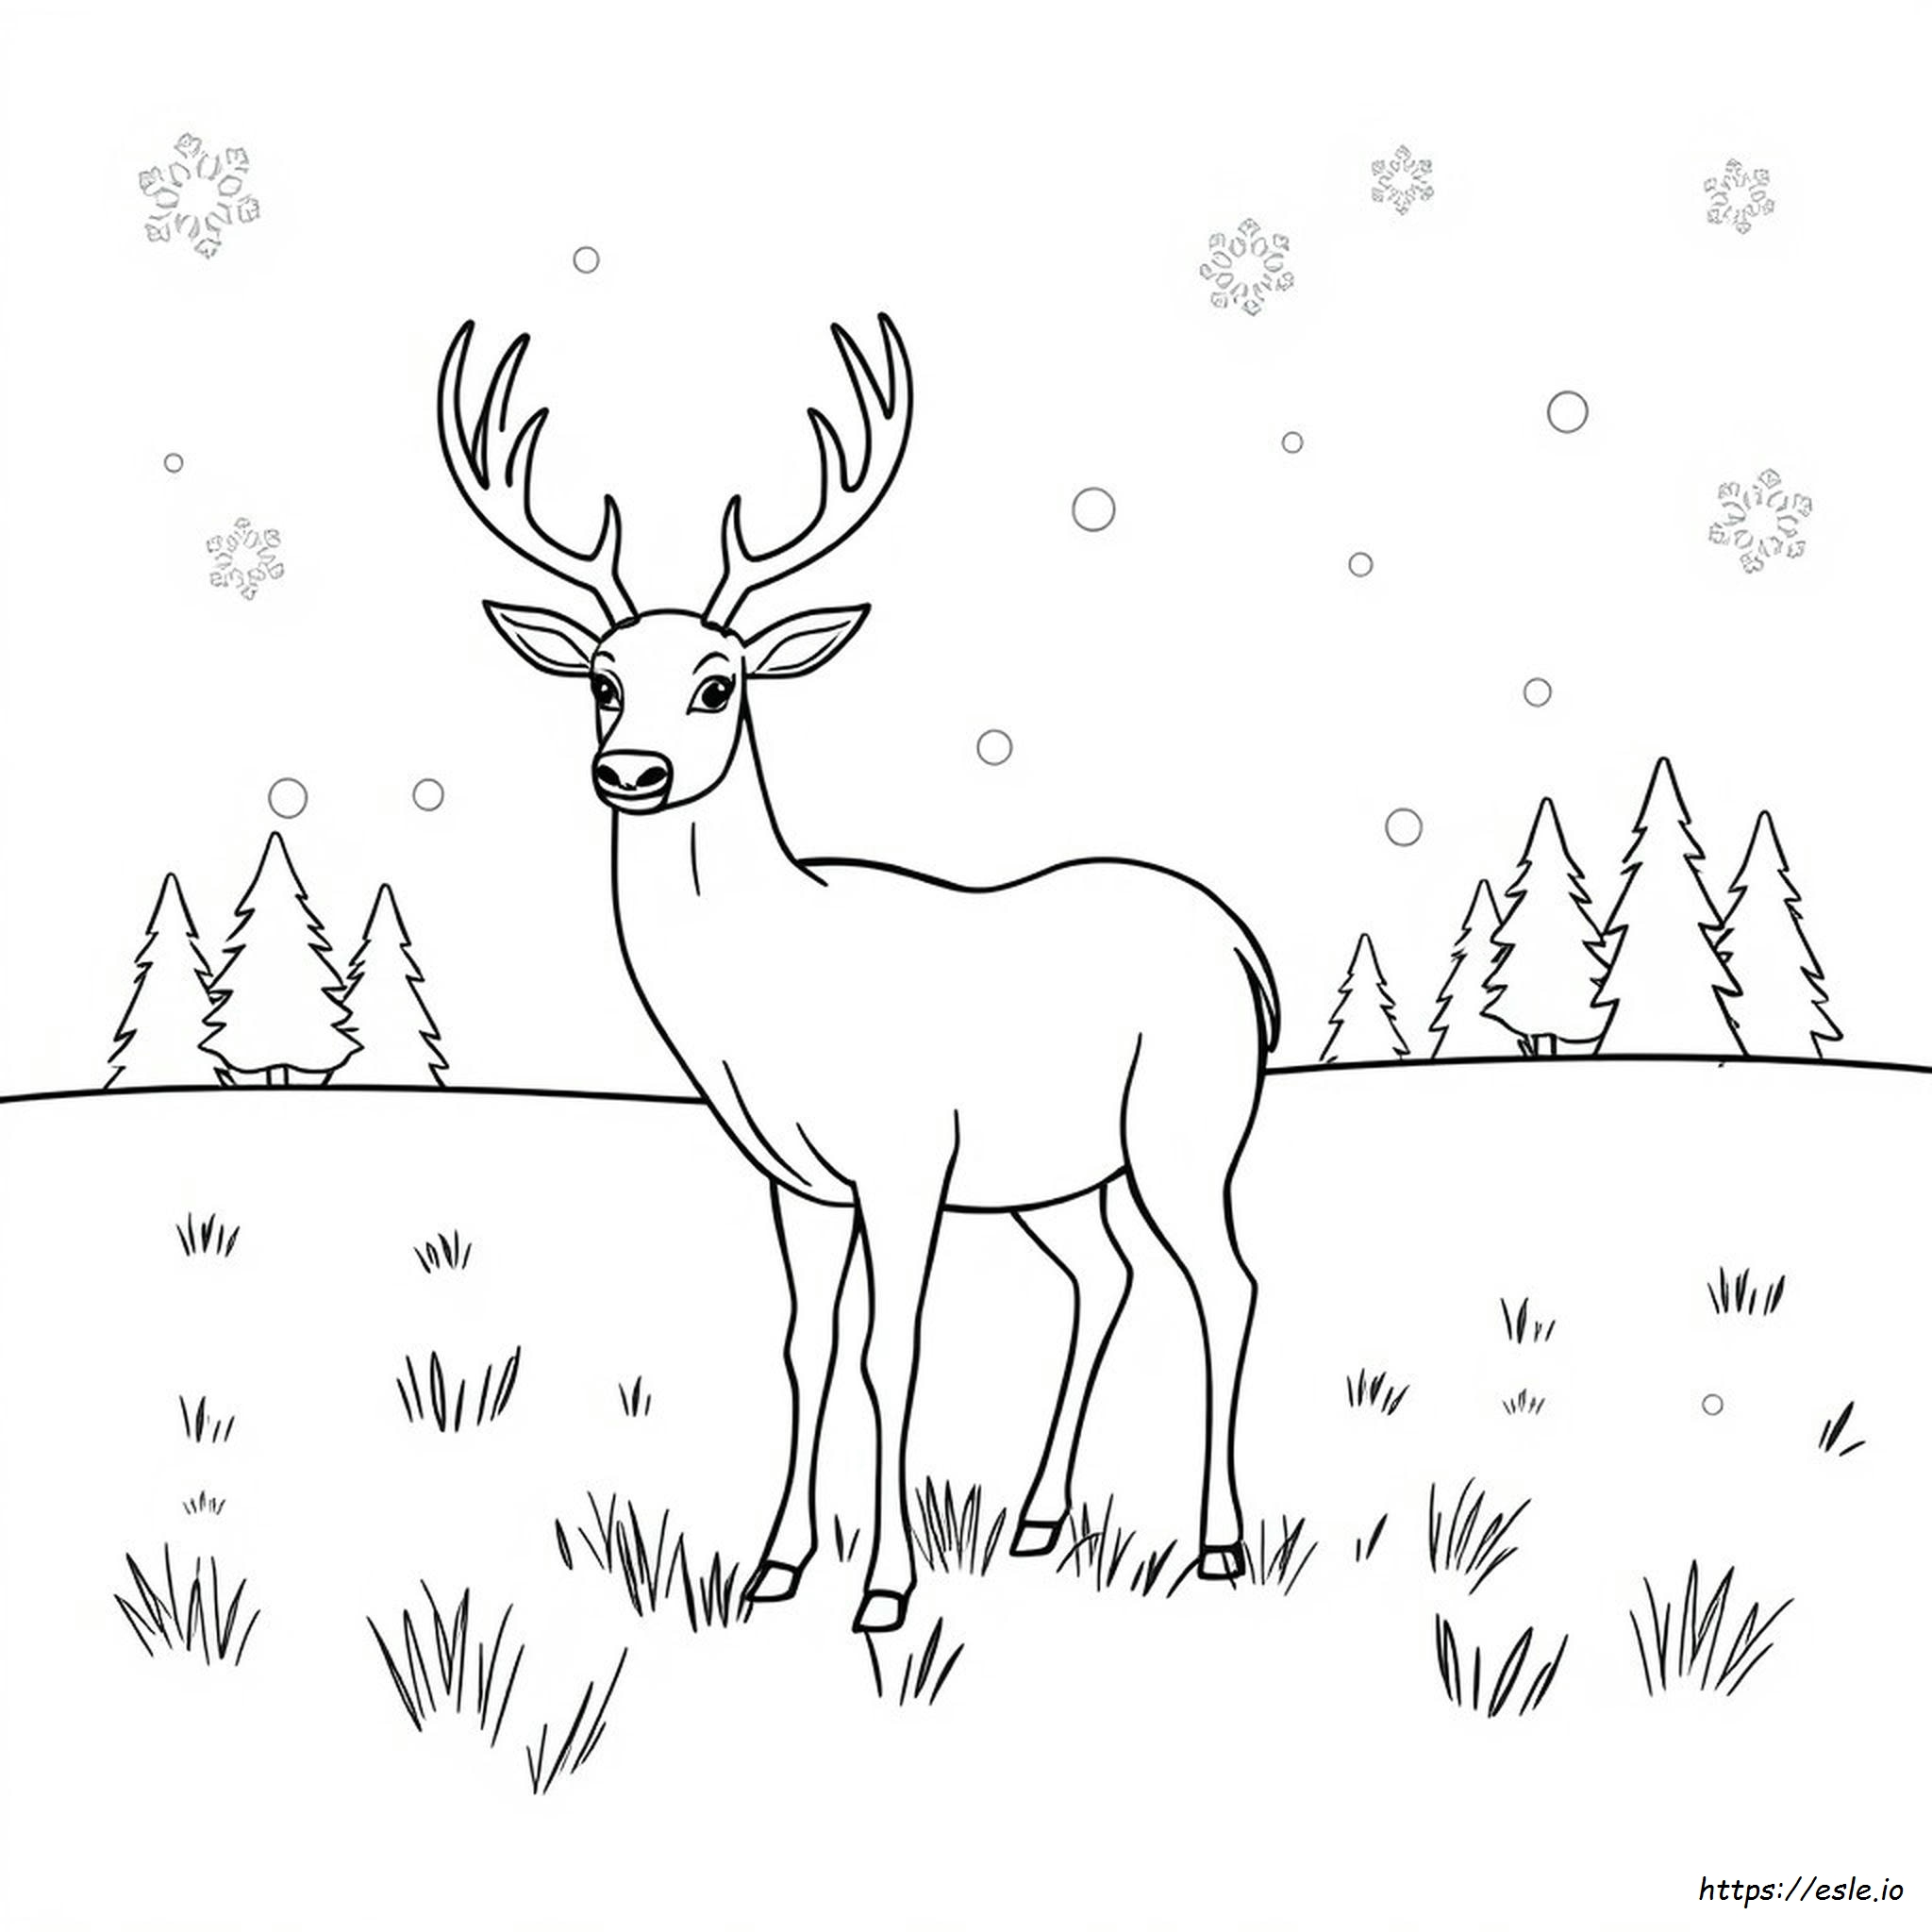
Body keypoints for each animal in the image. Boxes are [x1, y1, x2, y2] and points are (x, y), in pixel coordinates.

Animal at [437, 313, 1280, 1633]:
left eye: (719, 682)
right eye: (602, 681)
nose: (629, 771)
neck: (772, 992)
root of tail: (1245, 948)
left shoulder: (902, 1160)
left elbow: (894, 1349)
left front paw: (884, 1586)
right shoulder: (797, 1179)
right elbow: (806, 1344)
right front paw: (774, 1562)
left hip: (1188, 1125)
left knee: (1226, 1286)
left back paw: (1218, 1543)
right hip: (1058, 1173)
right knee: (1109, 1278)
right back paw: (1039, 1518)